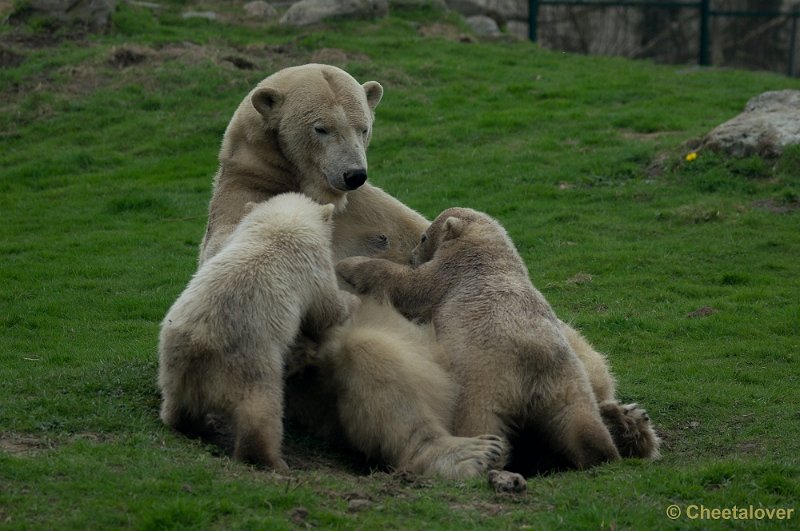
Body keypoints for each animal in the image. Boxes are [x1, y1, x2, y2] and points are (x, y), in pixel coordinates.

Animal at [197, 63, 660, 478]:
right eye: (321, 128)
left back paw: (625, 423)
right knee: (375, 357)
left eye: (363, 127)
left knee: (579, 356)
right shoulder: (245, 206)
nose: (353, 173)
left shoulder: (377, 209)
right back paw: (468, 453)